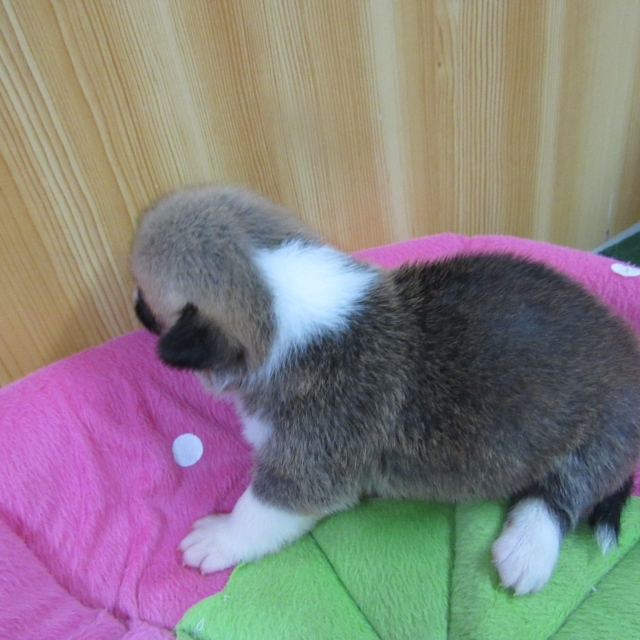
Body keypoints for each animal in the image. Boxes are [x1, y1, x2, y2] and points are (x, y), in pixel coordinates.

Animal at [131, 185, 640, 595]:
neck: (276, 298)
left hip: (603, 433)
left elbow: (259, 509)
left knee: (563, 492)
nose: (132, 306)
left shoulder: (309, 464)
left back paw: (525, 550)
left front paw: (218, 537)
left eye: (144, 298)